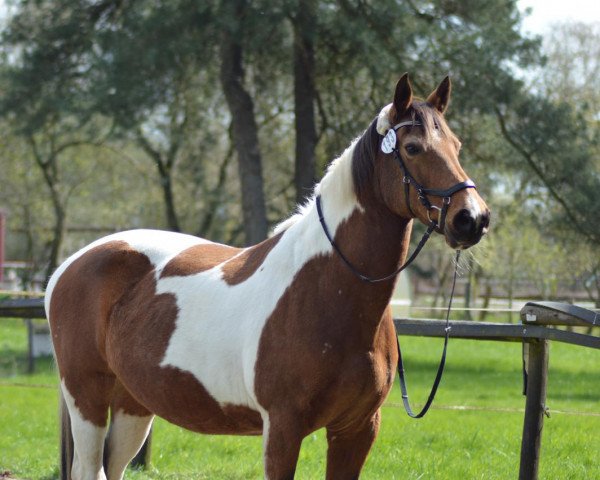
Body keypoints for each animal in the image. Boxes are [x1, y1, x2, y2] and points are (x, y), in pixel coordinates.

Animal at [45, 75, 488, 480]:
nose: (473, 218)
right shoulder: (283, 428)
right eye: (413, 148)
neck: (326, 289)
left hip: (133, 403)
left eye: (457, 146)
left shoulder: (356, 429)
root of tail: (69, 266)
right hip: (86, 395)